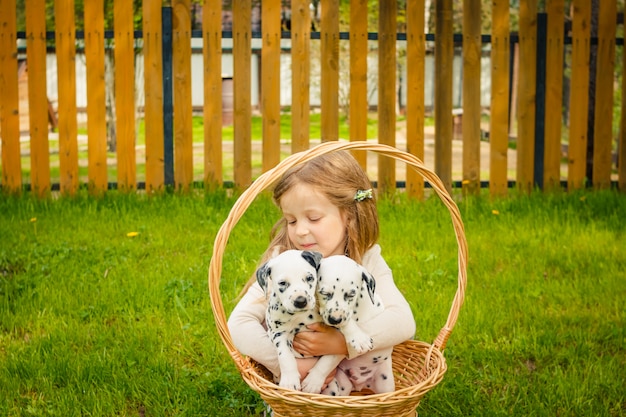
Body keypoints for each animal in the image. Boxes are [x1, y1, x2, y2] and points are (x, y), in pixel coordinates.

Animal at [252, 249, 342, 392]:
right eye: (282, 283)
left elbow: (329, 359)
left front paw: (313, 382)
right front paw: (289, 381)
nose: (300, 301)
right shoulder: (280, 334)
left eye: (309, 278)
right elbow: (285, 356)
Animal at [314, 255, 392, 394]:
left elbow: (330, 357)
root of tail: (360, 385)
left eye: (351, 294)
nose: (335, 319)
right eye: (324, 293)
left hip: (386, 383)